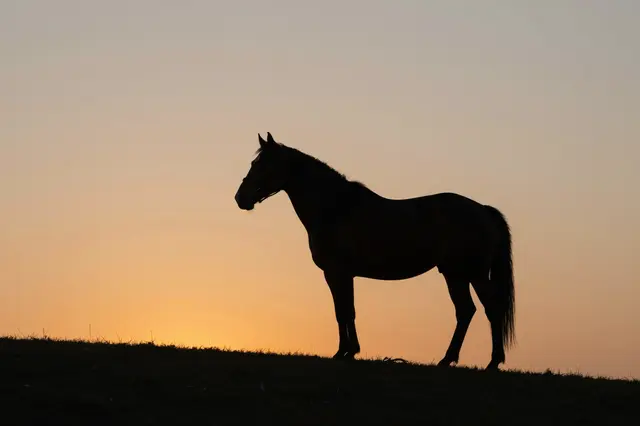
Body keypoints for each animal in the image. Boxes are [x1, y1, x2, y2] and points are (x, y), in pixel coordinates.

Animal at [234, 132, 516, 370]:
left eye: (263, 165)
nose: (240, 198)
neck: (335, 208)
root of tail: (483, 210)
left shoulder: (336, 272)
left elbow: (343, 311)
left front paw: (344, 352)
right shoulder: (342, 274)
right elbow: (346, 310)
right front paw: (349, 351)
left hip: (469, 273)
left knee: (488, 308)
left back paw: (489, 362)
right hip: (457, 274)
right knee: (467, 310)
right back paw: (451, 359)